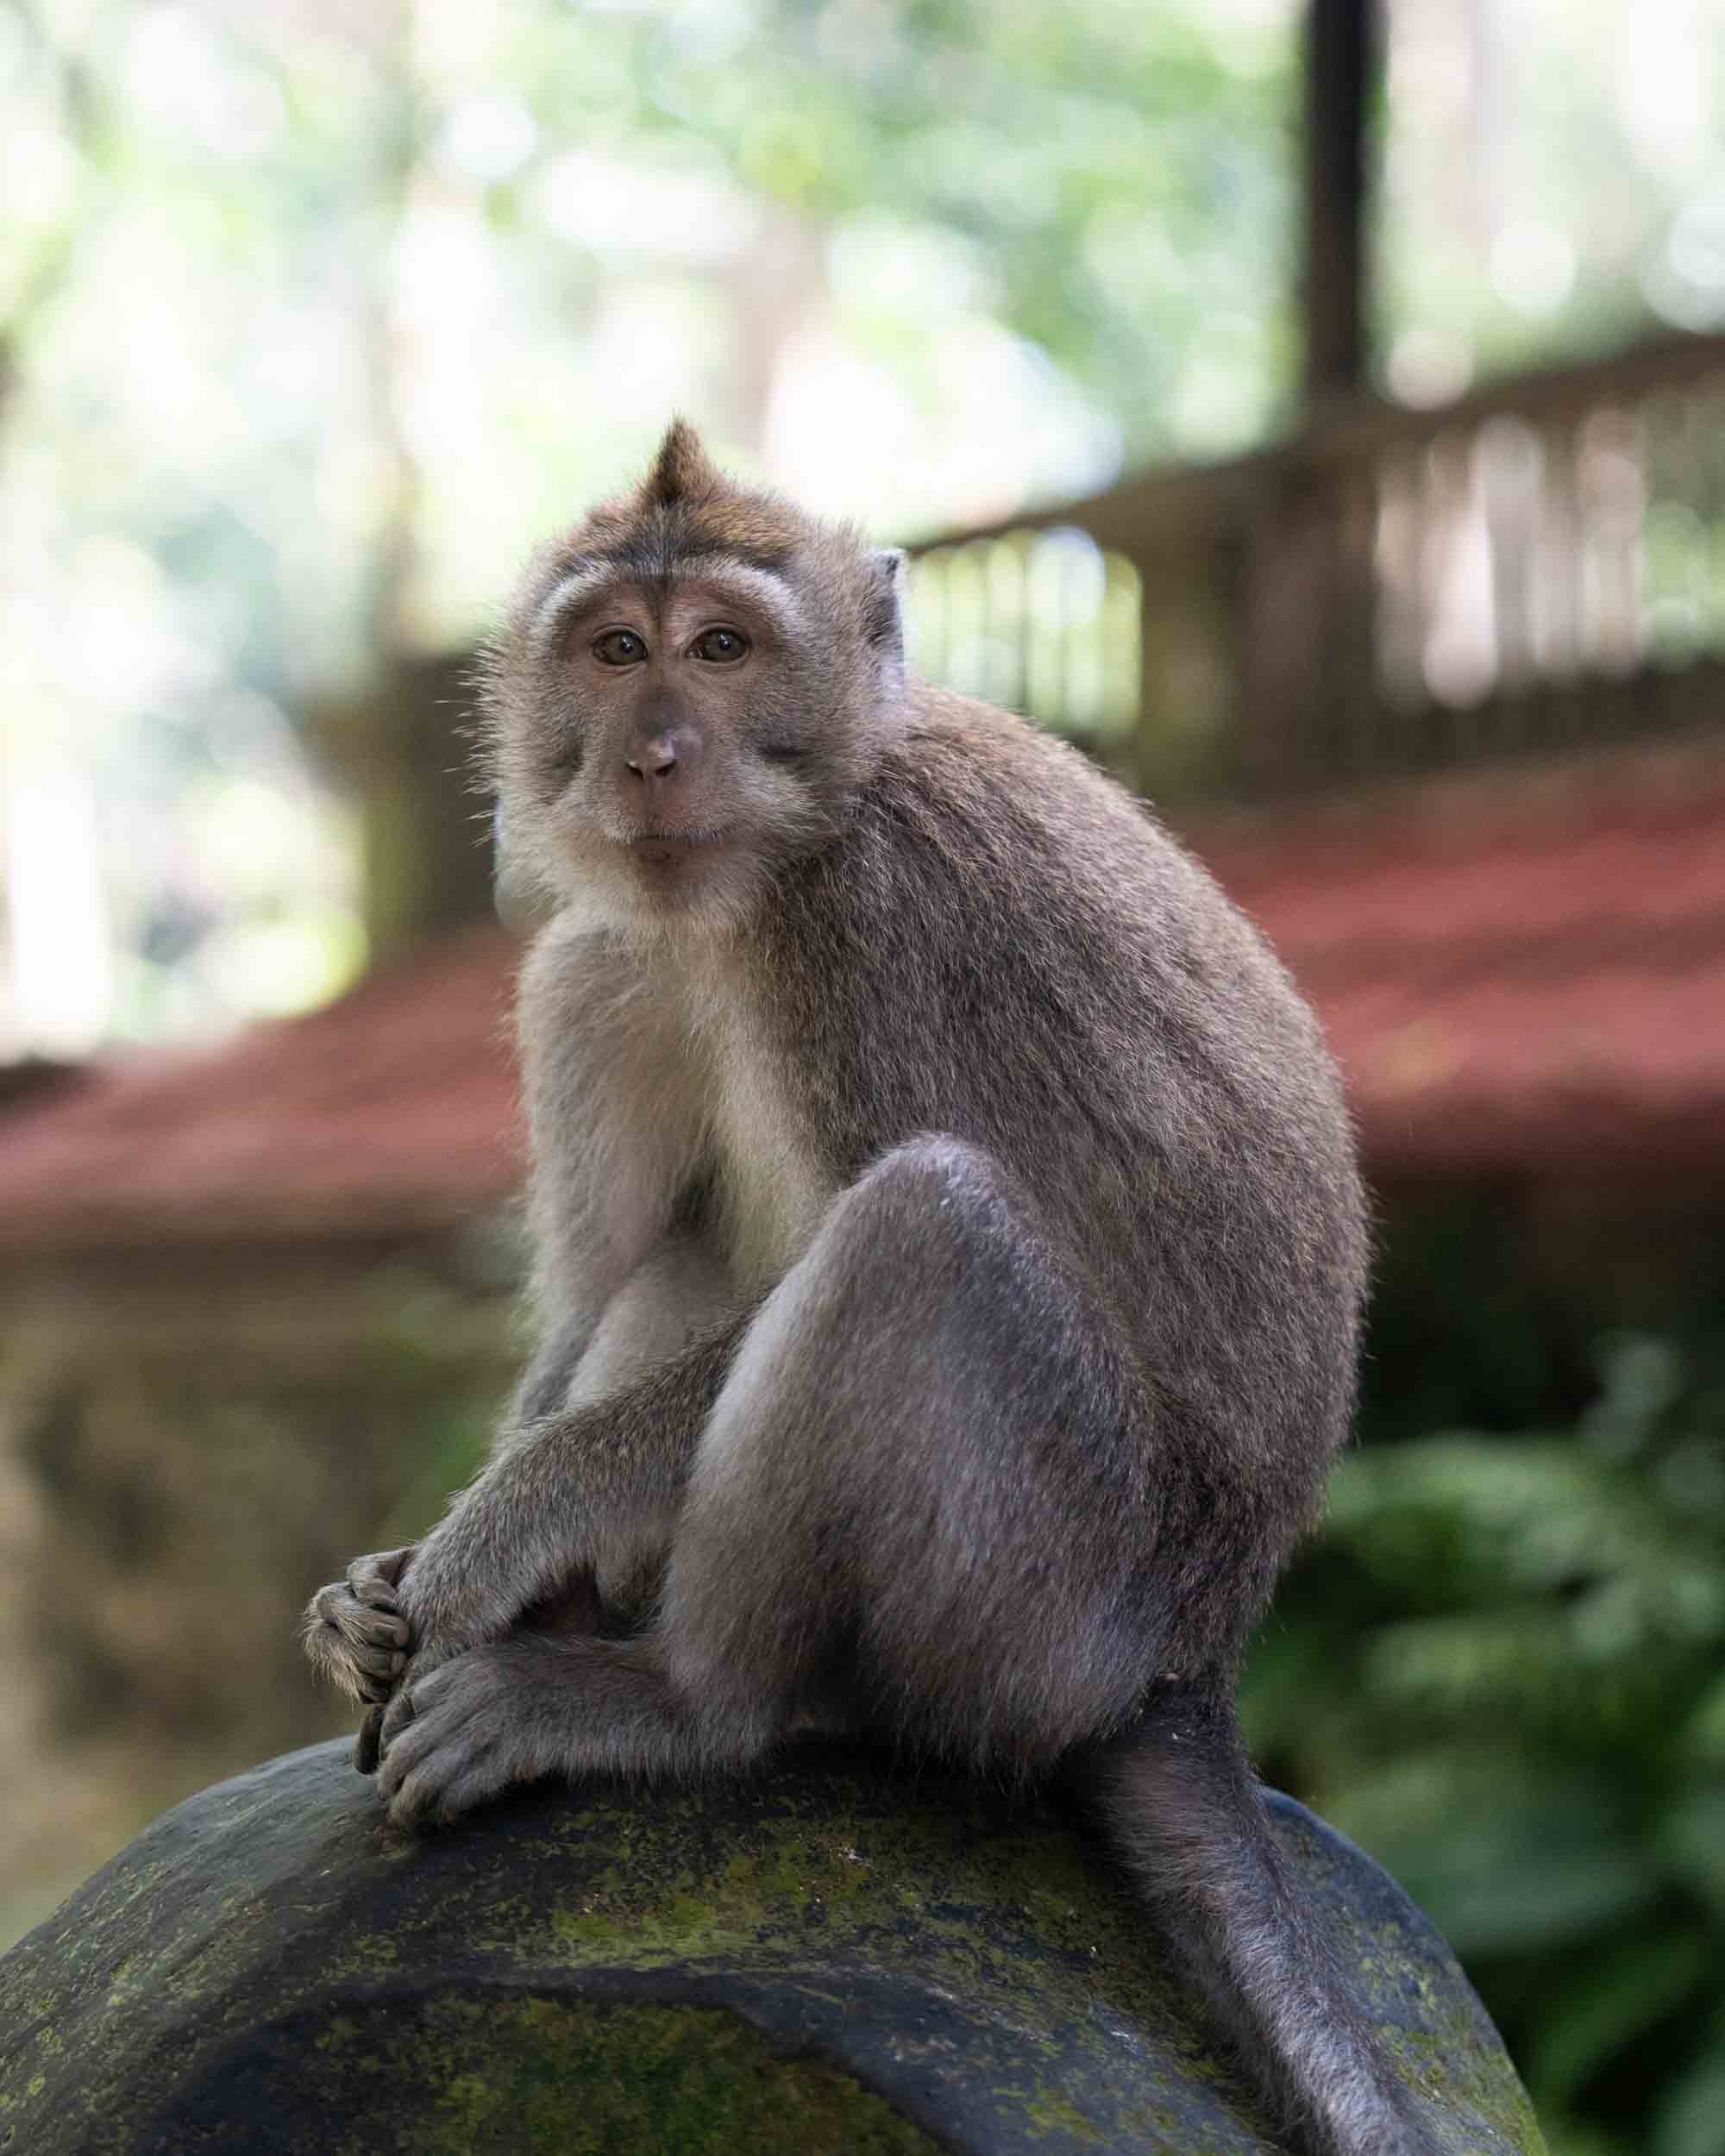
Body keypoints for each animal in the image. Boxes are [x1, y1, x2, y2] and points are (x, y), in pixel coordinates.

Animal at [306, 424, 1440, 2156]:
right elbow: (599, 1283)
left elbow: (848, 1234)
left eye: (723, 647)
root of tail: (1194, 1670)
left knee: (927, 1230)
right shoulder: (598, 966)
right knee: (695, 1253)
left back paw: (677, 1697)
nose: (651, 756)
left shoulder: (874, 925)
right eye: (616, 651)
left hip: (1053, 1607)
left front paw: (486, 1545)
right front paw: (385, 1585)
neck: (753, 879)